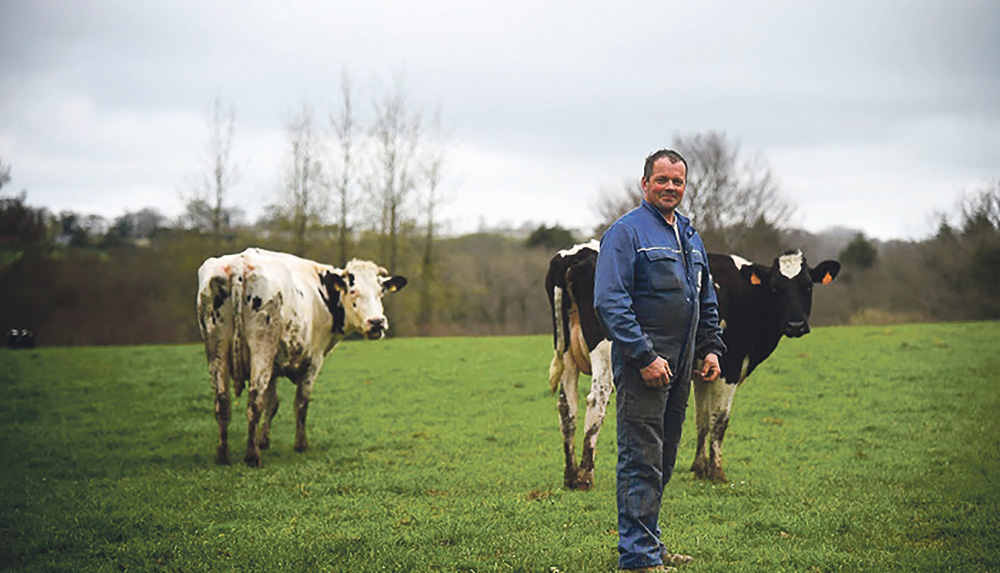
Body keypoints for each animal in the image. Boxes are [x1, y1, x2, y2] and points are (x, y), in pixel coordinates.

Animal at [196, 246, 406, 464]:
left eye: (381, 292)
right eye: (353, 291)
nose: (377, 322)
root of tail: (240, 263)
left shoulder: (273, 368)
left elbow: (272, 404)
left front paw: (263, 440)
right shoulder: (313, 362)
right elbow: (301, 403)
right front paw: (300, 445)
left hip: (216, 348)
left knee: (223, 402)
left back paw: (223, 455)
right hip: (262, 347)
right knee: (254, 400)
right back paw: (252, 456)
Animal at [548, 242, 836, 488]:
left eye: (807, 287)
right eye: (776, 288)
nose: (795, 325)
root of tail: (576, 254)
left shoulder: (704, 370)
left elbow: (702, 418)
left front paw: (700, 468)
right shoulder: (730, 368)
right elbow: (719, 420)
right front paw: (717, 472)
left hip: (567, 354)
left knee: (567, 407)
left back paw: (570, 474)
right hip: (606, 353)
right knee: (596, 401)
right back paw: (585, 475)